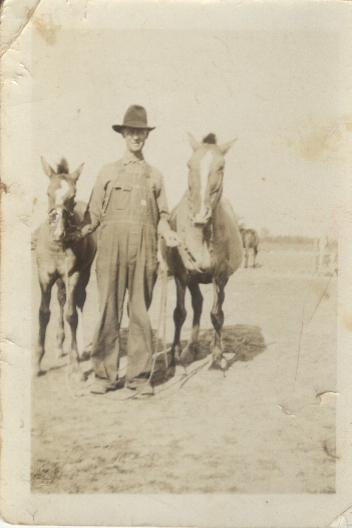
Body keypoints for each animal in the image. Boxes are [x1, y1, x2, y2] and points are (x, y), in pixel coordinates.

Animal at [33, 157, 96, 376]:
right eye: (48, 193)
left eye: (73, 195)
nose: (58, 233)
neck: (58, 247)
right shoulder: (44, 276)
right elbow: (44, 313)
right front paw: (37, 363)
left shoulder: (73, 274)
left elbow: (72, 315)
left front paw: (75, 363)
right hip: (59, 279)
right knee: (61, 299)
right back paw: (60, 345)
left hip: (84, 273)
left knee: (80, 300)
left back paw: (84, 347)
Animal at [164, 134, 243, 370]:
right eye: (189, 165)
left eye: (221, 167)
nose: (200, 215)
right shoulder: (182, 275)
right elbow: (180, 313)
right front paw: (175, 354)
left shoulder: (220, 276)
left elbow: (216, 315)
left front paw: (217, 357)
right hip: (192, 279)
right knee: (197, 305)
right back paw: (189, 349)